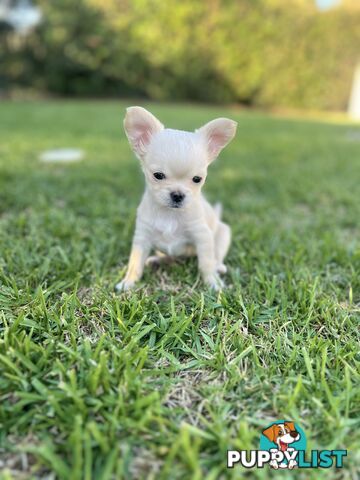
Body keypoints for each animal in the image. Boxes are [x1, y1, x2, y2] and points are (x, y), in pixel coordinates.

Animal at [116, 106, 238, 290]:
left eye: (197, 179)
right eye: (158, 175)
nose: (177, 195)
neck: (170, 215)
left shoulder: (202, 237)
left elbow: (206, 263)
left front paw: (213, 282)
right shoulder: (142, 238)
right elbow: (135, 263)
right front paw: (128, 282)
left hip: (223, 234)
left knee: (216, 257)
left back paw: (219, 267)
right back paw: (156, 260)